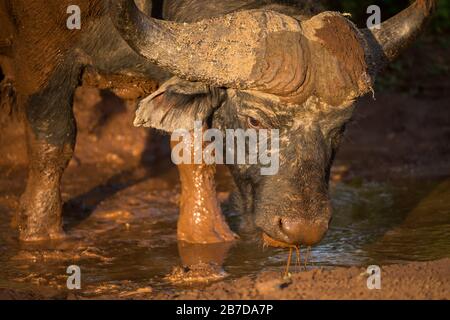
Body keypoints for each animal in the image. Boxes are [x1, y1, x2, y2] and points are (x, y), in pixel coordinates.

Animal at [0, 0, 436, 248]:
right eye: (255, 120)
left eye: (341, 127)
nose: (303, 230)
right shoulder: (40, 63)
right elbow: (53, 143)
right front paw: (39, 233)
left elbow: (194, 153)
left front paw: (205, 236)